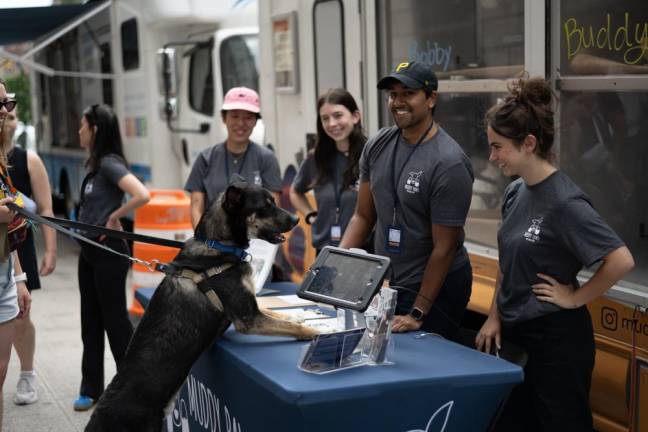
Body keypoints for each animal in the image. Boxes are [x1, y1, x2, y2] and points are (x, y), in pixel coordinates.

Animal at [86, 182, 318, 432]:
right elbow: (289, 326)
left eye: (273, 201)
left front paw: (298, 318)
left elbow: (276, 314)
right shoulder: (247, 318)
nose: (297, 218)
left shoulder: (249, 307)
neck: (219, 245)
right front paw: (316, 331)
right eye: (265, 206)